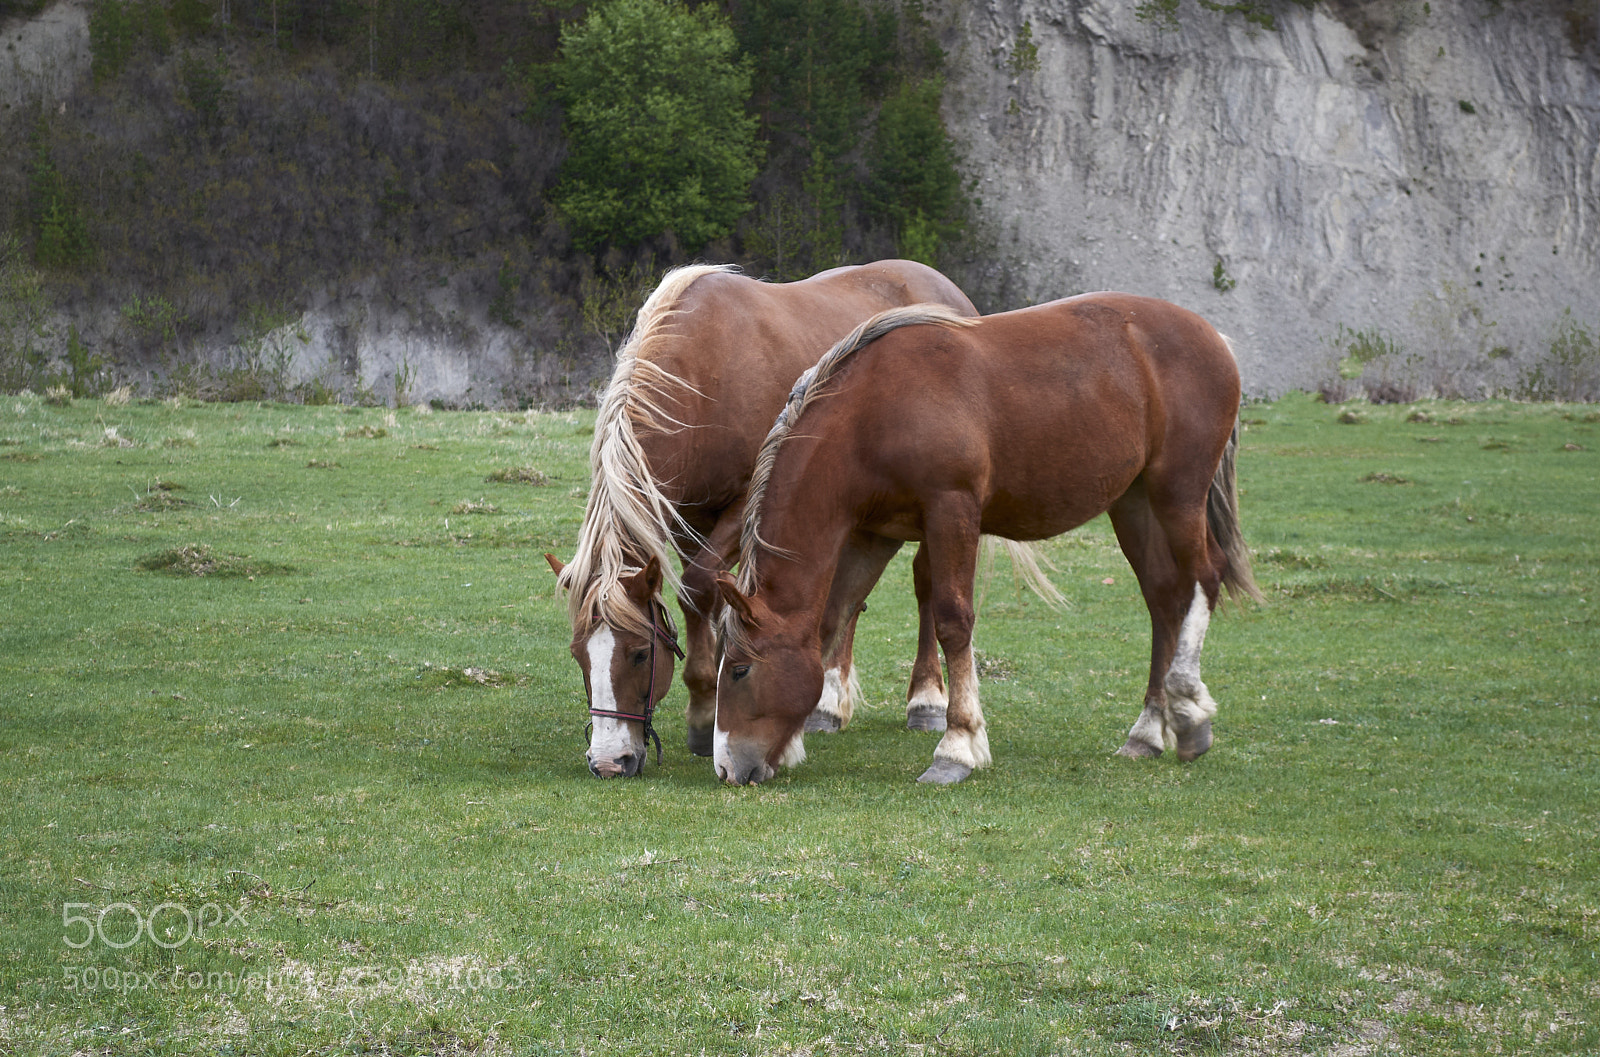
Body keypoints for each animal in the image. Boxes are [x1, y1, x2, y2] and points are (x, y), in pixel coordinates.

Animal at [544, 261, 979, 778]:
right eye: (578, 656)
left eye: (640, 653)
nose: (610, 761)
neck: (704, 372)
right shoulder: (687, 518)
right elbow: (709, 598)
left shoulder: (743, 510)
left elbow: (698, 587)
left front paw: (703, 711)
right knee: (849, 598)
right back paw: (828, 706)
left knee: (925, 585)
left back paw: (926, 700)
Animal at [713, 293, 1262, 785]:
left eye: (739, 670)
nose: (725, 767)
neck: (873, 411)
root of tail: (1214, 338)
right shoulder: (873, 535)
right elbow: (835, 617)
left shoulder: (952, 510)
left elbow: (953, 621)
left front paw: (956, 747)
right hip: (1133, 501)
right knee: (1164, 597)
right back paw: (1148, 731)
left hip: (1177, 493)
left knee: (1203, 577)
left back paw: (1187, 709)